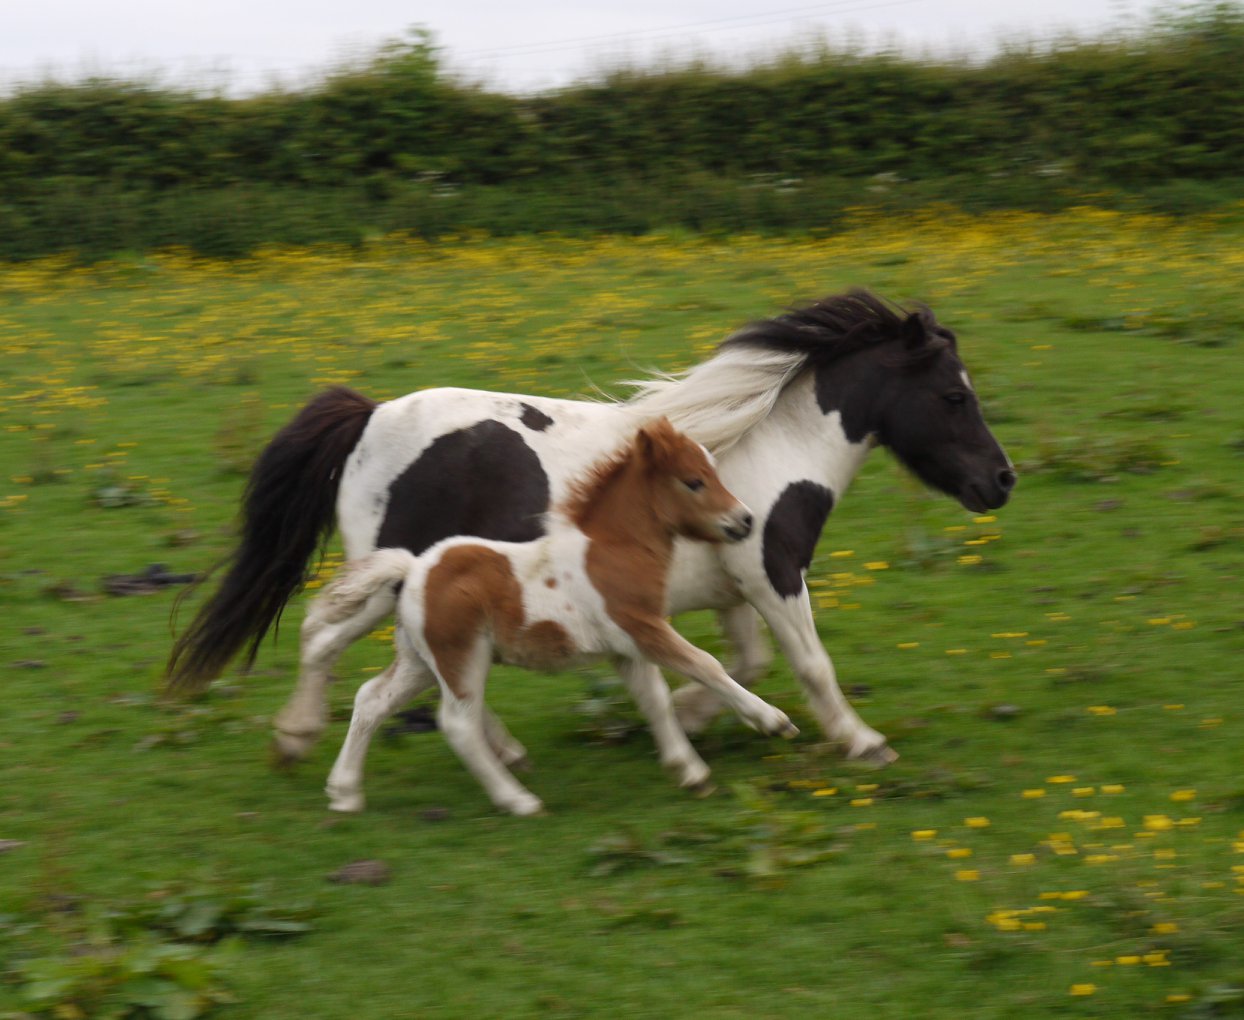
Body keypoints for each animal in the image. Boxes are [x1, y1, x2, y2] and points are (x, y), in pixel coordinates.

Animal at [170, 288, 1015, 771]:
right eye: (953, 396)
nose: (1001, 481)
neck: (768, 454)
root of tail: (370, 416)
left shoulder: (730, 589)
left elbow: (737, 661)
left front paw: (686, 719)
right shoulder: (771, 573)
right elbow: (809, 664)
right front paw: (861, 741)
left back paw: (490, 748)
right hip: (389, 573)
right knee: (326, 637)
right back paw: (301, 737)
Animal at [311, 417, 796, 816]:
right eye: (694, 481)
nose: (745, 521)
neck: (612, 551)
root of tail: (413, 569)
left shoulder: (625, 649)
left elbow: (655, 699)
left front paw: (690, 772)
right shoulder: (643, 626)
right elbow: (706, 665)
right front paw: (771, 721)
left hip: (421, 660)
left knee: (372, 699)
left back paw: (345, 792)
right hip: (462, 658)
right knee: (459, 724)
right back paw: (519, 800)